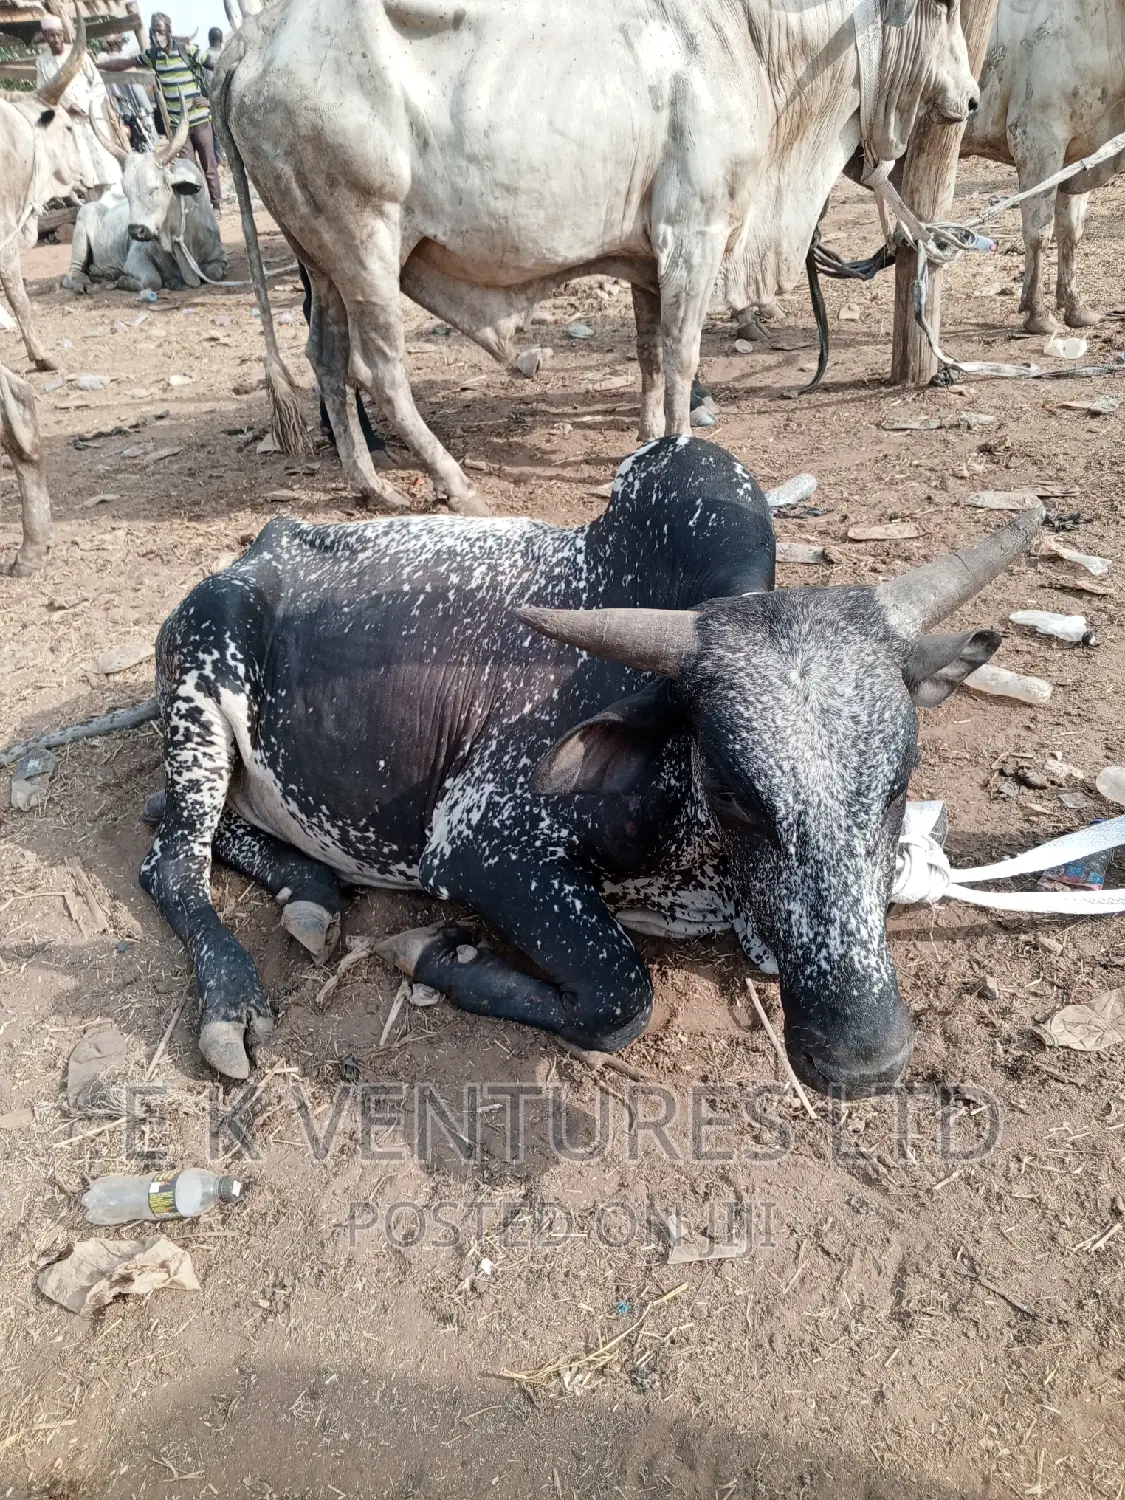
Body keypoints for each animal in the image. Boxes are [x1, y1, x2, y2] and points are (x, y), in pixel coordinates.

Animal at [63, 112, 229, 294]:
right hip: (80, 234)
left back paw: (107, 273)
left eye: (154, 188)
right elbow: (153, 280)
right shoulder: (135, 258)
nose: (136, 230)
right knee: (70, 275)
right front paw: (125, 281)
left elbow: (214, 273)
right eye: (126, 192)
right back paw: (85, 283)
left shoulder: (220, 257)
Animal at [139, 437, 1041, 1091]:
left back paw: (311, 895)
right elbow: (621, 998)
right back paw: (232, 1001)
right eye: (735, 792)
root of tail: (251, 555)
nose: (867, 1061)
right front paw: (438, 955)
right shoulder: (477, 843)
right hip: (197, 694)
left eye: (898, 781)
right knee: (169, 863)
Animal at [211, 0, 979, 514]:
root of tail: (252, 37)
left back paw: (371, 486)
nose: (971, 99)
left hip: (321, 259)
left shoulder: (648, 256)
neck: (754, 43)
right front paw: (678, 450)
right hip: (364, 241)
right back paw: (457, 487)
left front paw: (646, 443)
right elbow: (681, 354)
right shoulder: (693, 234)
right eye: (944, 7)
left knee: (326, 358)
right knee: (378, 369)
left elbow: (648, 354)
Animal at [961, 0, 1125, 334]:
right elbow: (1039, 233)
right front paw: (1037, 313)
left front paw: (1074, 306)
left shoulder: (1079, 159)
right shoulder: (1038, 141)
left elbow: (1070, 232)